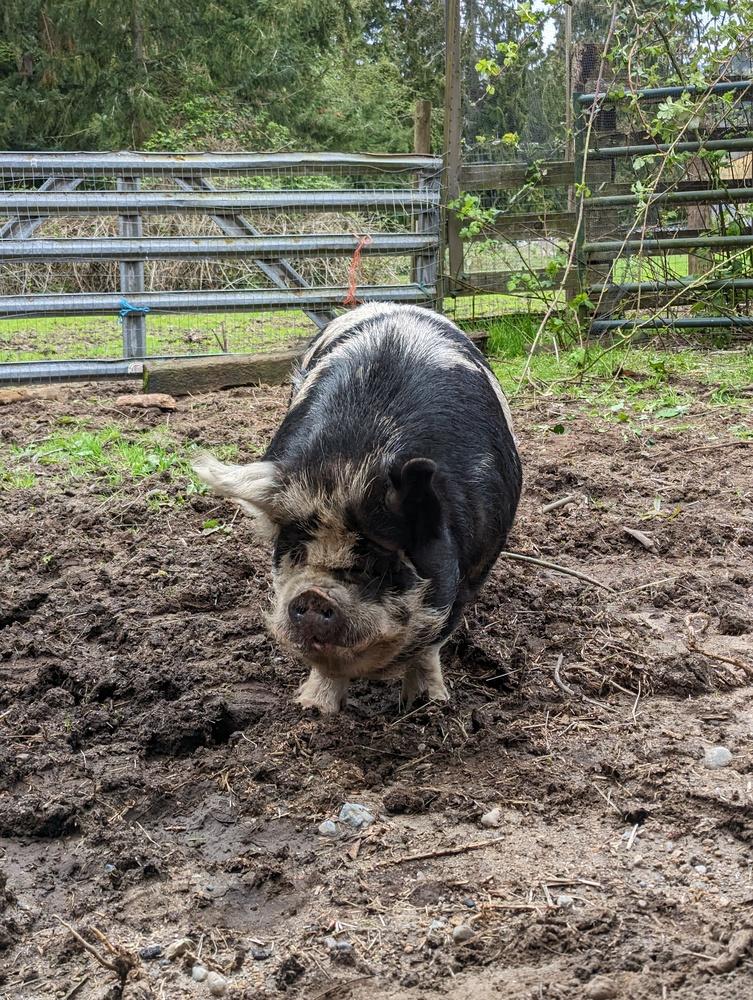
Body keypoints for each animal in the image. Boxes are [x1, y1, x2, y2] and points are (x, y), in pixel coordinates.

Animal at [193, 302, 521, 713]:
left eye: (375, 565)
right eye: (295, 552)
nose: (313, 596)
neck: (350, 468)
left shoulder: (473, 568)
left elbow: (430, 646)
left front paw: (427, 706)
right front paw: (314, 709)